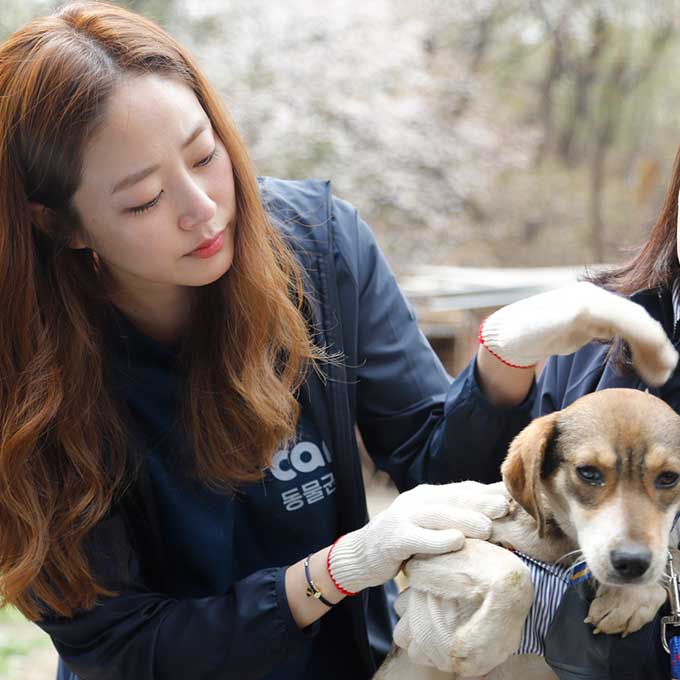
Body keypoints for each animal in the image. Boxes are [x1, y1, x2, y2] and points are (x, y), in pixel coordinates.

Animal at [374, 388, 680, 680]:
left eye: (669, 477)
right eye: (588, 473)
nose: (632, 562)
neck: (564, 548)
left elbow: (668, 559)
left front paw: (629, 599)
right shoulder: (434, 548)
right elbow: (515, 572)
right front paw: (483, 647)